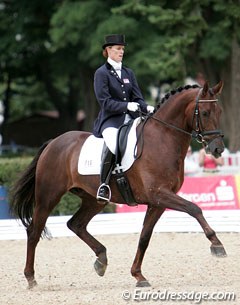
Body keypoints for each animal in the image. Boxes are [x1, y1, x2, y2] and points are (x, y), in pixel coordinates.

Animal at [9, 80, 227, 288]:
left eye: (220, 112)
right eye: (205, 113)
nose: (217, 149)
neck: (162, 139)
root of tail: (53, 142)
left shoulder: (157, 202)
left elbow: (144, 237)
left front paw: (138, 276)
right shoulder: (159, 194)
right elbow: (194, 208)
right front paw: (217, 245)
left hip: (94, 199)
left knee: (76, 224)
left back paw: (101, 260)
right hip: (48, 196)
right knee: (34, 232)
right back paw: (31, 278)